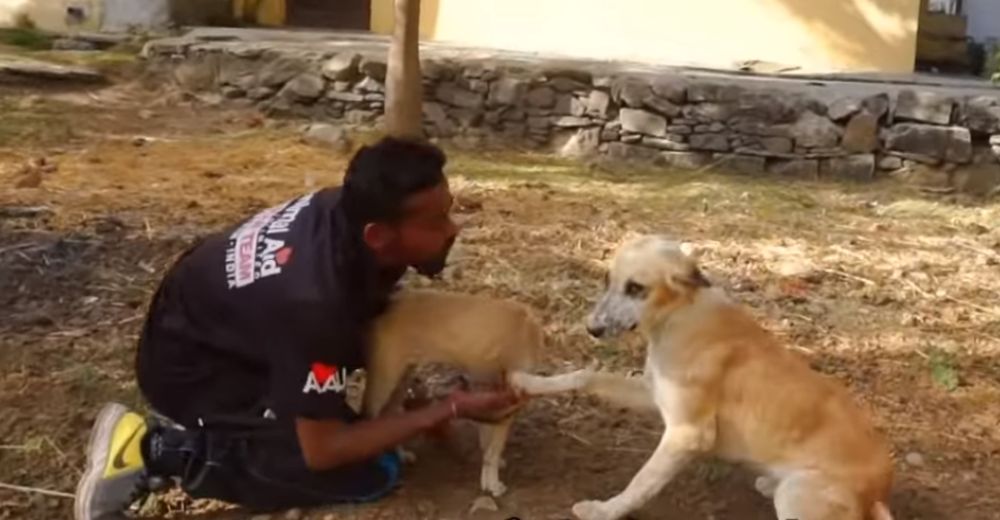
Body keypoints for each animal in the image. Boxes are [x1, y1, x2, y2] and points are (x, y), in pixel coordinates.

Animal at [362, 288, 544, 496]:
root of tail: (385, 310)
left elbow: (488, 442)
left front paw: (490, 469)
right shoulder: (505, 406)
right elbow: (494, 447)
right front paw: (493, 483)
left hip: (401, 381)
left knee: (389, 417)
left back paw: (400, 454)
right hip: (384, 382)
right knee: (370, 417)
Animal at [512, 236, 896, 520]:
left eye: (636, 288)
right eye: (607, 281)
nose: (591, 329)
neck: (679, 313)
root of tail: (878, 492)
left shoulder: (688, 433)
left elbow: (641, 482)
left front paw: (604, 510)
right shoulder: (652, 393)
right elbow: (584, 375)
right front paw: (528, 382)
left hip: (798, 494)